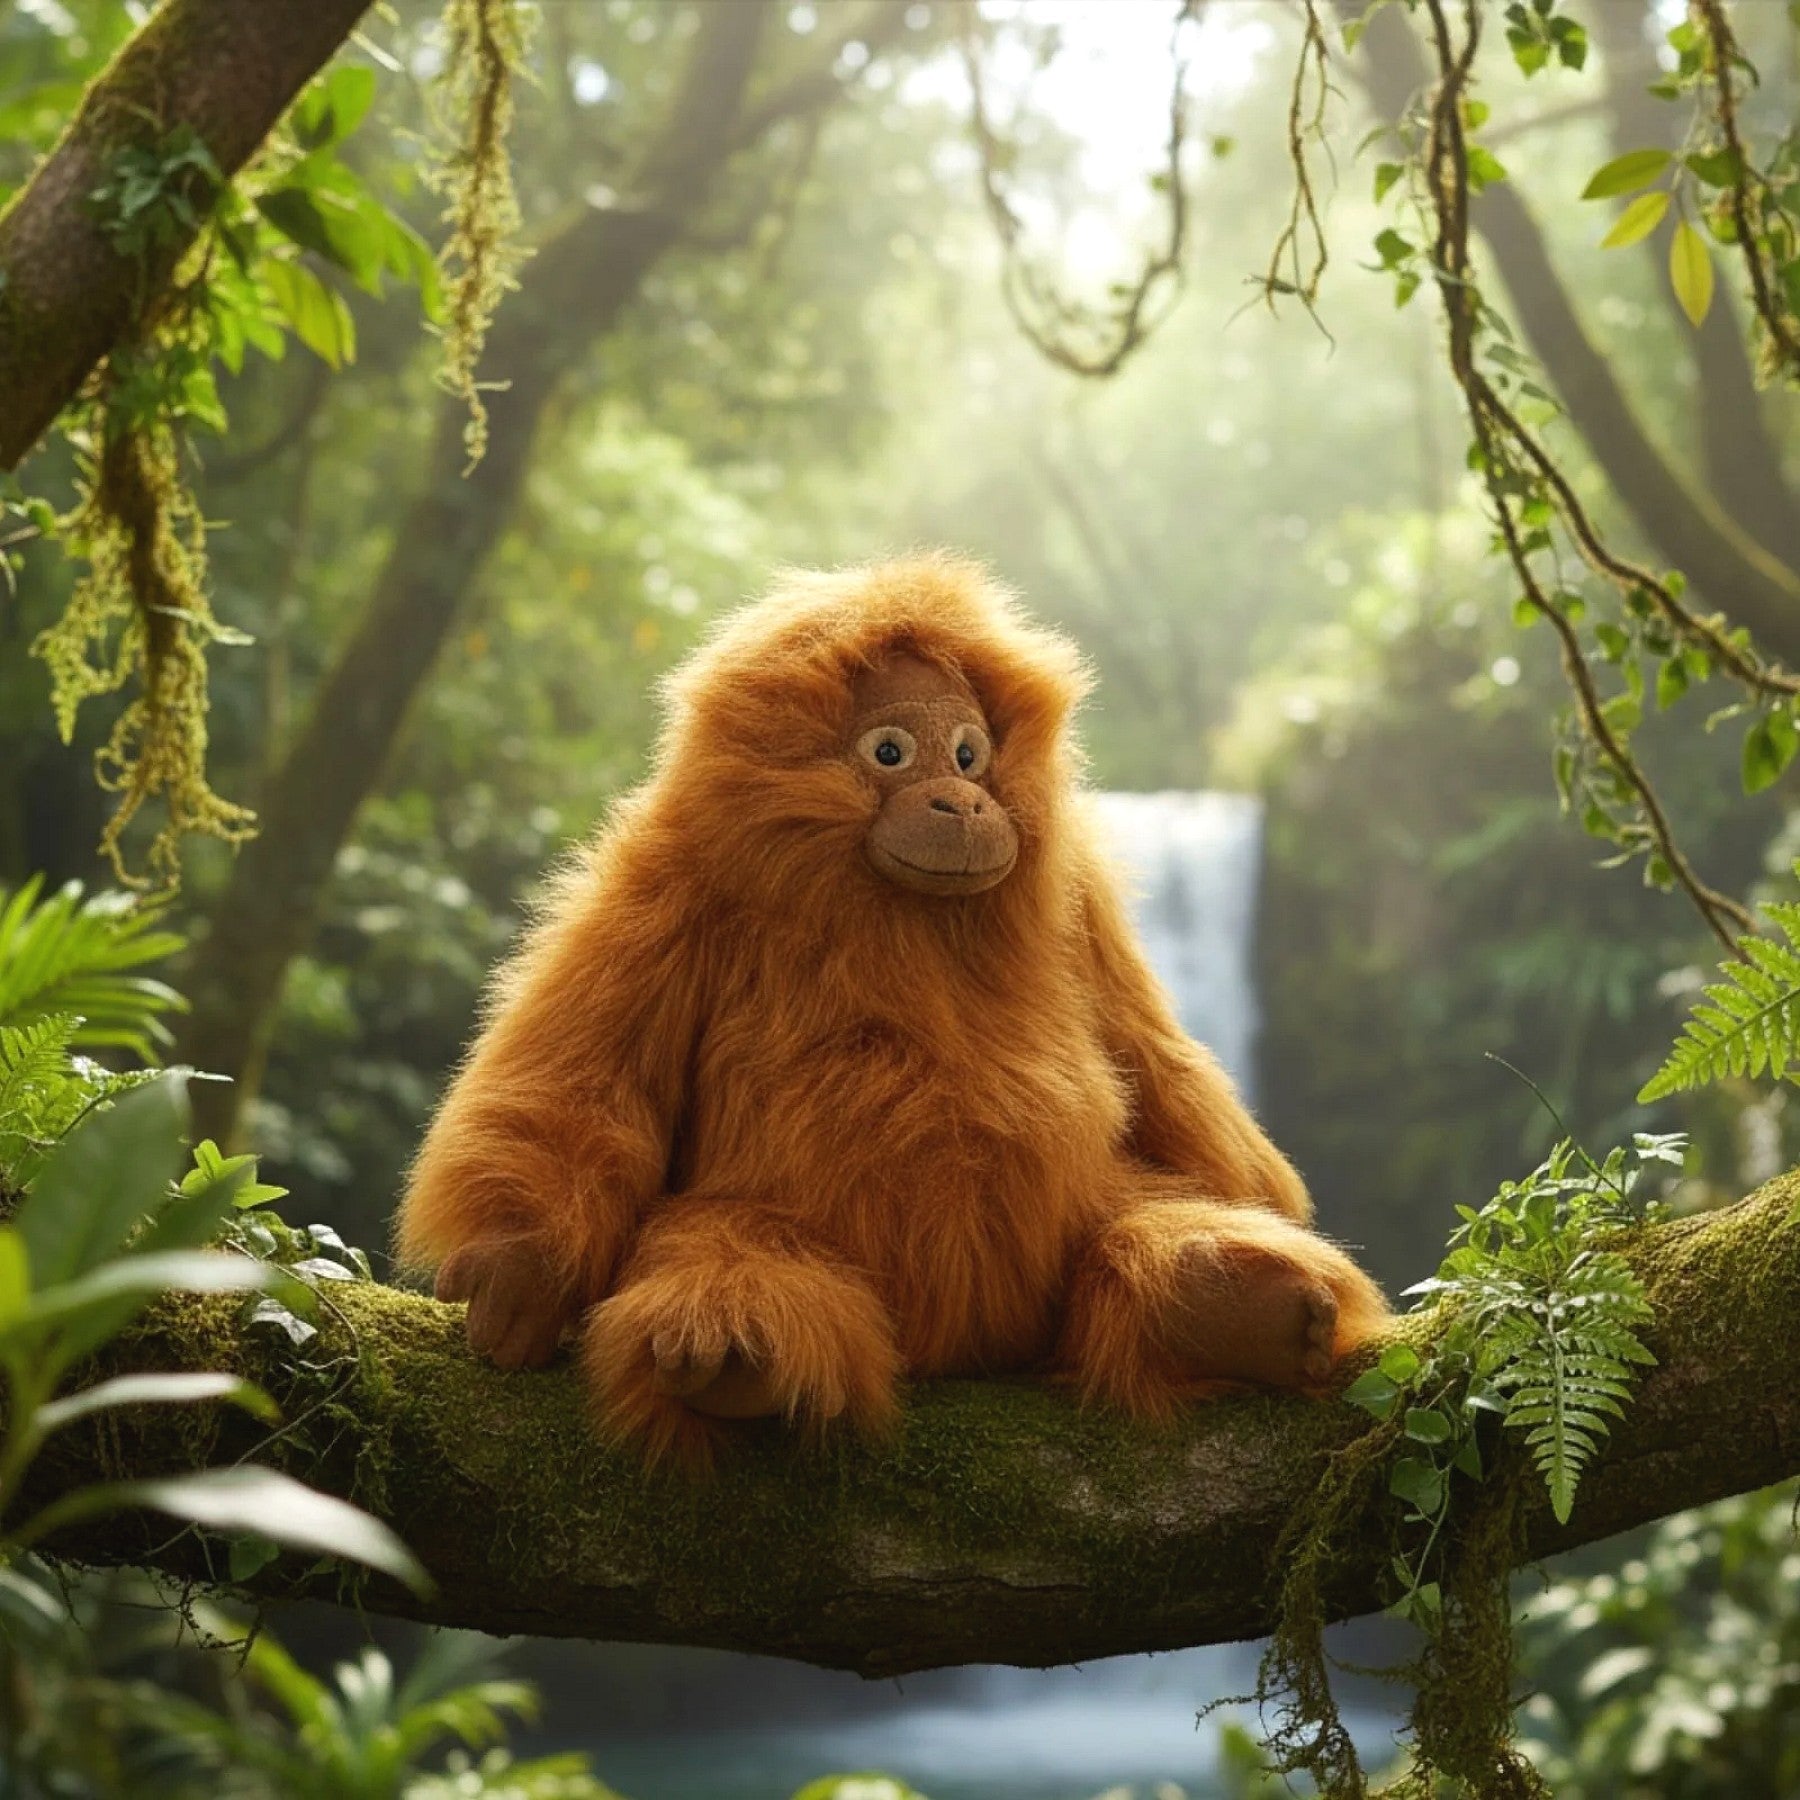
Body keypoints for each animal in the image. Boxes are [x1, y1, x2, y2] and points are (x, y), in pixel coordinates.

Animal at [397, 554, 1390, 1466]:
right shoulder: (662, 893)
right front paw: (516, 1278)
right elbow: (586, 1074)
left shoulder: (1080, 911)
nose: (963, 802)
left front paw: (1260, 1199)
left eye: (969, 752)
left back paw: (1246, 1305)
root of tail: (960, 1347)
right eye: (890, 753)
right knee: (729, 1247)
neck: (905, 914)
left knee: (1130, 1220)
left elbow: (1154, 1061)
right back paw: (731, 1350)